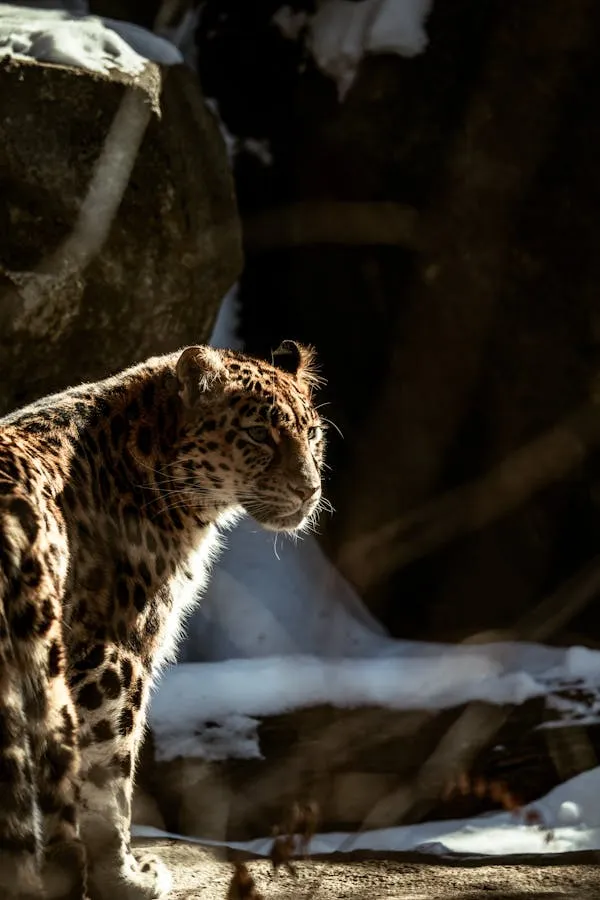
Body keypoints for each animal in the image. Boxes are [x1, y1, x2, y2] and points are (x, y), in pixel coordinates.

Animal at [0, 340, 325, 900]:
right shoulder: (113, 654)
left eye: (311, 433)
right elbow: (111, 778)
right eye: (258, 434)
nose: (309, 489)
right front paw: (125, 877)